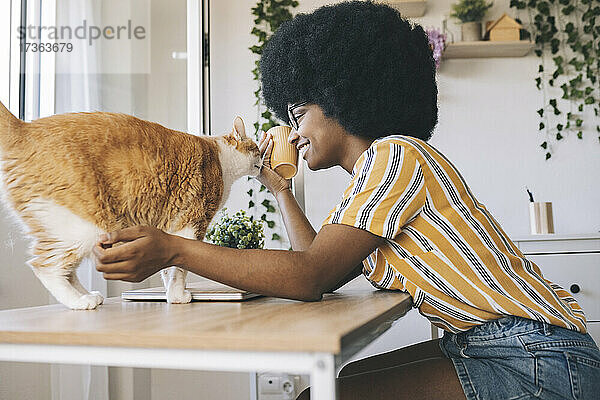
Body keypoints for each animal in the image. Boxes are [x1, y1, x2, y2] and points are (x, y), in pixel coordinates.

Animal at [0, 102, 262, 310]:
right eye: (257, 150)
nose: (262, 162)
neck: (220, 158)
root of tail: (24, 128)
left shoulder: (169, 230)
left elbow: (168, 266)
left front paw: (170, 295)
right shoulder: (190, 223)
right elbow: (179, 269)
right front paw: (178, 296)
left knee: (66, 270)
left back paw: (89, 296)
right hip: (83, 227)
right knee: (45, 266)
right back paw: (80, 302)